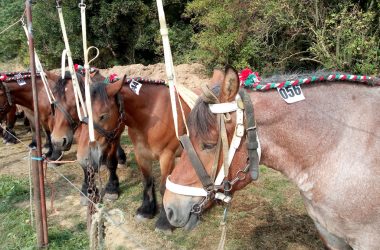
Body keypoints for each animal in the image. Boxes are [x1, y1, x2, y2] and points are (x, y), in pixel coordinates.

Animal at [76, 76, 193, 232]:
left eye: (103, 116)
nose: (83, 158)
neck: (151, 116)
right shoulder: (141, 154)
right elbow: (147, 181)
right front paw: (146, 210)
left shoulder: (167, 156)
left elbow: (164, 188)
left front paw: (164, 222)